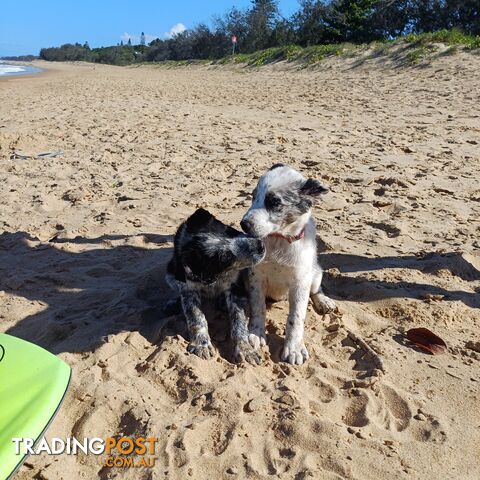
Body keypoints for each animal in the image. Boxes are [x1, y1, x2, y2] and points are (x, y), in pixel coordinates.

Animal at [166, 209, 266, 364]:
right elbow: (196, 316)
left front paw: (245, 348)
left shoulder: (236, 286)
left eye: (230, 230)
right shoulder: (188, 288)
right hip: (170, 272)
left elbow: (239, 319)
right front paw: (202, 344)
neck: (214, 276)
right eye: (225, 258)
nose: (260, 246)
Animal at [240, 163, 338, 366]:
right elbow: (258, 307)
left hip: (315, 272)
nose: (243, 224)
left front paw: (294, 348)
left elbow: (296, 318)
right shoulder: (255, 277)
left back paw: (324, 301)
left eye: (274, 202)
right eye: (253, 196)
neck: (279, 240)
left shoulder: (300, 282)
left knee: (316, 289)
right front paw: (256, 333)